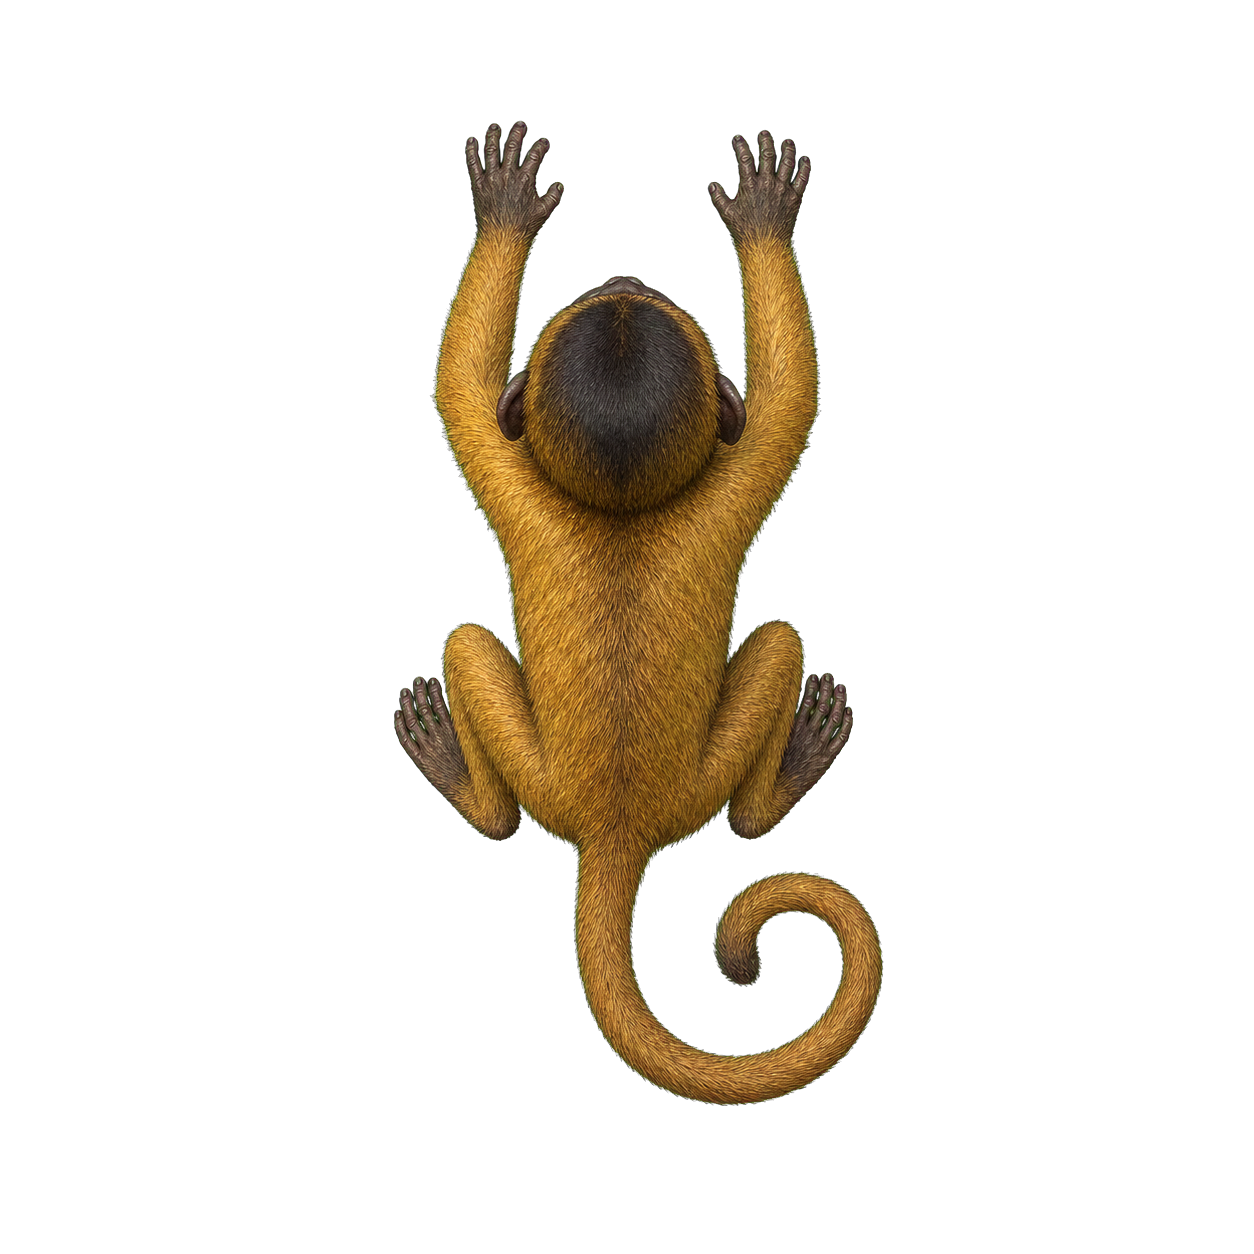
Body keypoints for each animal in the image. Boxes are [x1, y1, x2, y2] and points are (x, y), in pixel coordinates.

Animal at [395, 121, 881, 1105]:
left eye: (645, 296)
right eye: (602, 295)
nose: (623, 276)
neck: (623, 508)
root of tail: (615, 834)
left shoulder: (555, 477)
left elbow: (461, 390)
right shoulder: (688, 479)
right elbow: (790, 402)